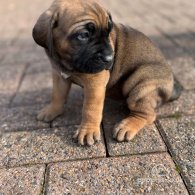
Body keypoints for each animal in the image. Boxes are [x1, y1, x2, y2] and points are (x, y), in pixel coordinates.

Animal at [32, 0, 181, 145]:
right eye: (83, 35)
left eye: (108, 32)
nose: (110, 58)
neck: (66, 61)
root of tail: (172, 87)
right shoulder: (58, 75)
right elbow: (57, 95)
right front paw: (52, 110)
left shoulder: (95, 82)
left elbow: (90, 109)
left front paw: (87, 131)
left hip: (141, 83)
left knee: (147, 114)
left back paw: (126, 126)